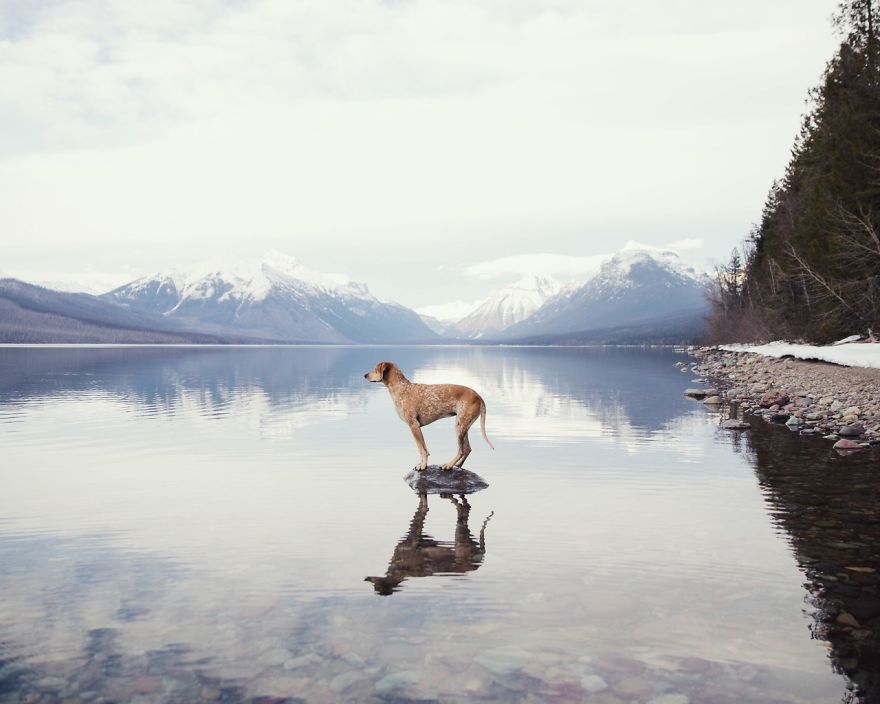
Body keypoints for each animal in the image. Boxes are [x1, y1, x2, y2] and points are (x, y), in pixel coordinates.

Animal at [360, 360, 492, 470]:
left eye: (375, 369)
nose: (365, 375)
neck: (402, 388)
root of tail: (478, 396)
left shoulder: (414, 425)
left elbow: (422, 450)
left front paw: (423, 465)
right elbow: (422, 449)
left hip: (460, 426)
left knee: (462, 450)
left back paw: (449, 465)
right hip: (464, 426)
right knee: (468, 449)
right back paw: (458, 465)